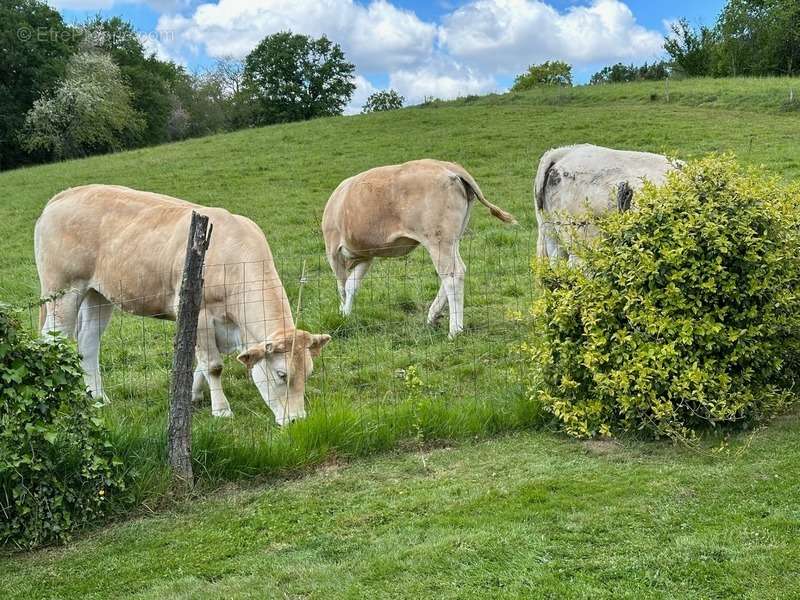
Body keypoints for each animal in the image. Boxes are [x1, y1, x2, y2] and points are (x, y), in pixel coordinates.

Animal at [36, 185, 330, 424]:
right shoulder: (200, 314)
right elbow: (213, 365)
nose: (297, 420)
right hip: (63, 290)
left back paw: (98, 398)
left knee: (88, 343)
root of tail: (64, 195)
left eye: (309, 374)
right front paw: (221, 410)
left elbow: (198, 363)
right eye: (281, 374)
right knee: (51, 340)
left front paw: (191, 396)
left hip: (98, 295)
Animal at [322, 159, 516, 338]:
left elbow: (342, 286)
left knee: (453, 275)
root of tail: (448, 166)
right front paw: (346, 314)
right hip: (452, 238)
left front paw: (342, 314)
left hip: (437, 239)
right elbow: (351, 285)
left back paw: (454, 330)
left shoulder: (333, 250)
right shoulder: (367, 255)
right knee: (456, 270)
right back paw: (433, 315)